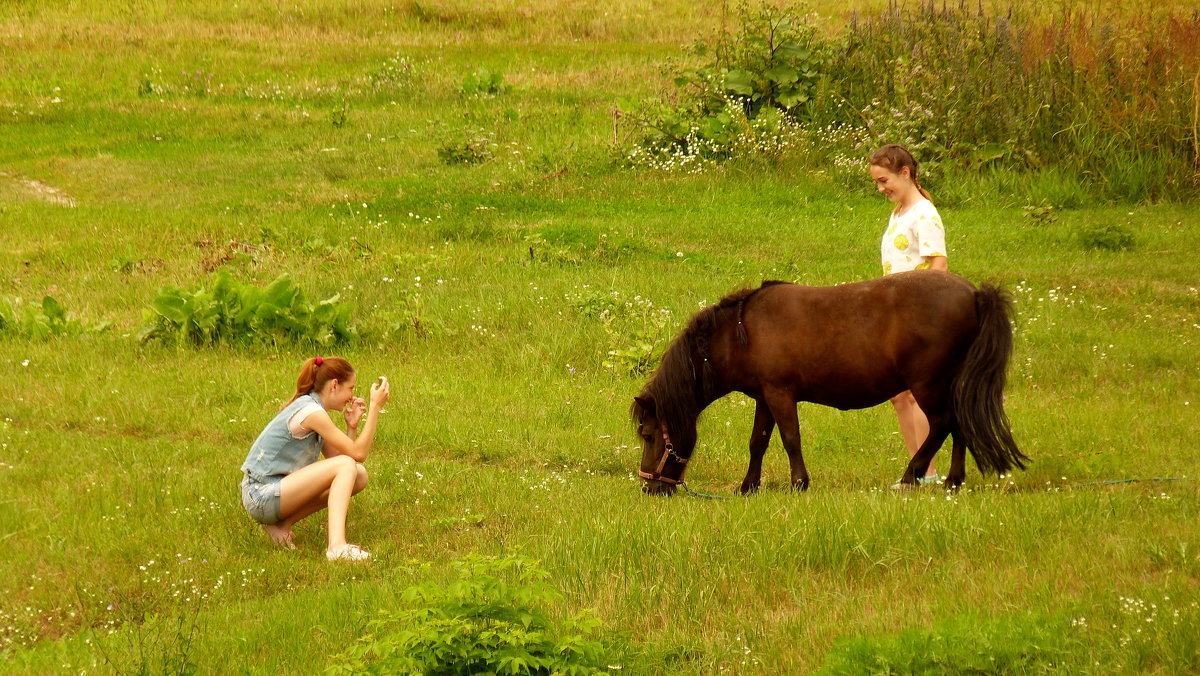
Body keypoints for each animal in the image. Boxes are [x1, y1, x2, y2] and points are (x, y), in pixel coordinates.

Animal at [633, 271, 1027, 497]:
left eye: (649, 435)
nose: (650, 488)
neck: (740, 332)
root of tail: (974, 294)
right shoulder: (765, 397)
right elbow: (758, 442)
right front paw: (748, 487)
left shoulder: (780, 393)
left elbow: (790, 439)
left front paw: (798, 483)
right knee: (958, 426)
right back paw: (953, 481)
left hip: (927, 384)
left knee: (942, 424)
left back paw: (910, 476)